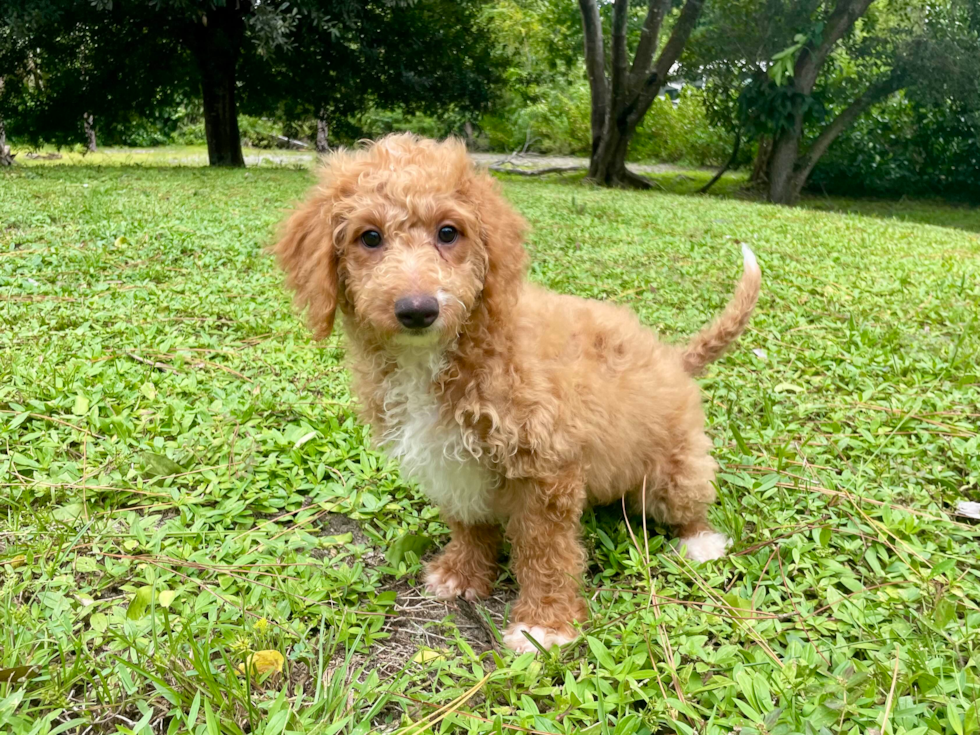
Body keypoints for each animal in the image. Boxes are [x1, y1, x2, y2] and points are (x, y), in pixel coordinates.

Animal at [272, 135, 760, 652]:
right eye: (369, 237)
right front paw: (463, 573)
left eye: (449, 233)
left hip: (671, 472)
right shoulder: (451, 462)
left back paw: (700, 542)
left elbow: (545, 549)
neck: (444, 356)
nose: (418, 310)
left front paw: (543, 623)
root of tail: (672, 357)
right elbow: (468, 522)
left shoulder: (545, 467)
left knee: (691, 501)